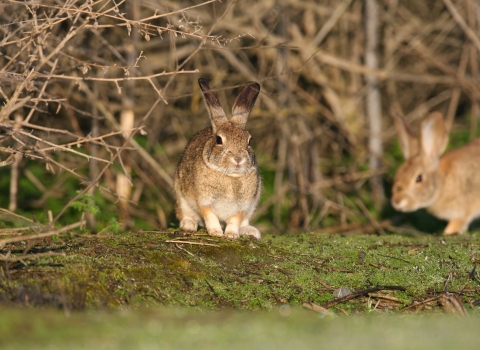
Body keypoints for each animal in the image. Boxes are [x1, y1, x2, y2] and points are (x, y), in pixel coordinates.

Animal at [173, 78, 262, 239]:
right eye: (219, 140)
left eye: (249, 141)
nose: (238, 159)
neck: (230, 176)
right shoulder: (204, 201)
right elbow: (210, 216)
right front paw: (216, 232)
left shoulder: (243, 206)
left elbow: (234, 220)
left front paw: (231, 235)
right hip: (181, 196)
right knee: (185, 214)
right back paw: (189, 225)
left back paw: (251, 231)